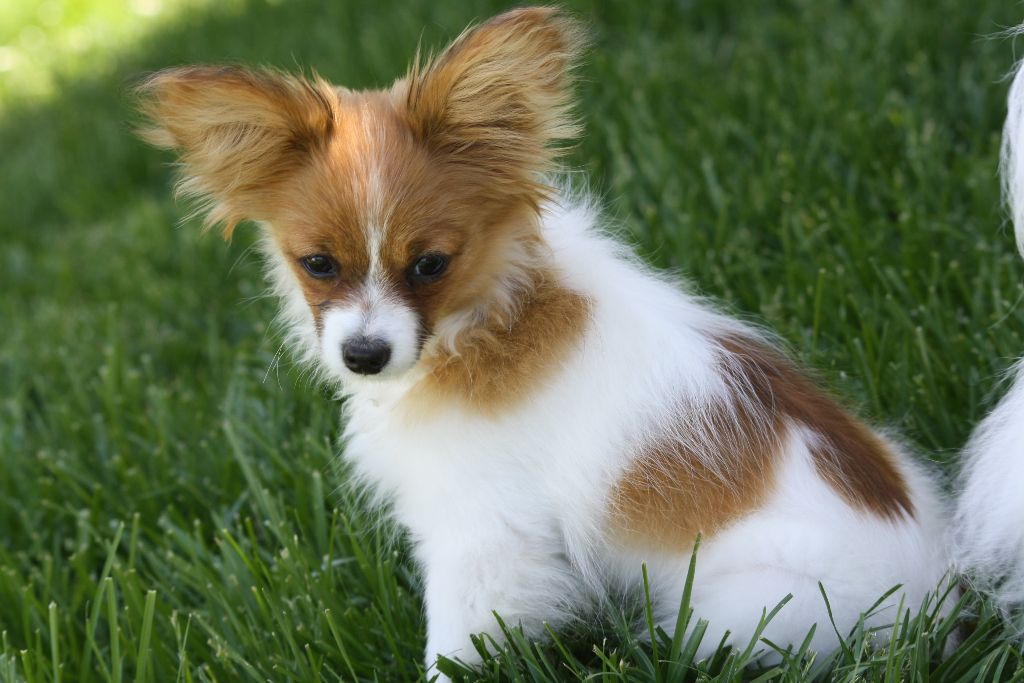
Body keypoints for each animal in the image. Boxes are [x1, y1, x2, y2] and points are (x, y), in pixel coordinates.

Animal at [138, 6, 950, 671]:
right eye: (318, 265)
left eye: (431, 264)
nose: (364, 356)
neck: (489, 320)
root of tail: (937, 595)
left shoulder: (485, 534)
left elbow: (452, 641)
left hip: (744, 609)